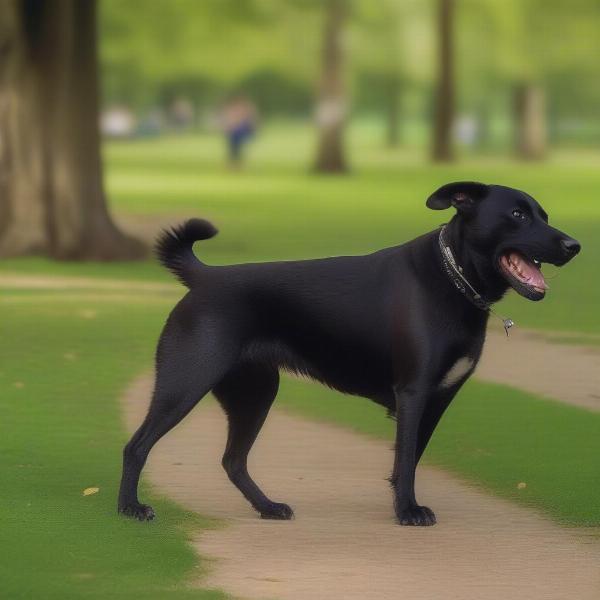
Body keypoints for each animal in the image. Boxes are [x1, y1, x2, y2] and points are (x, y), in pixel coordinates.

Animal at [118, 182, 580, 524]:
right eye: (517, 215)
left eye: (543, 215)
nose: (574, 245)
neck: (455, 281)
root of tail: (205, 278)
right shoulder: (413, 393)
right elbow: (407, 457)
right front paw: (408, 512)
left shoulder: (437, 399)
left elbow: (410, 459)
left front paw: (401, 504)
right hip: (185, 383)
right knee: (136, 446)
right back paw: (130, 509)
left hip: (255, 392)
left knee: (233, 460)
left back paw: (268, 507)